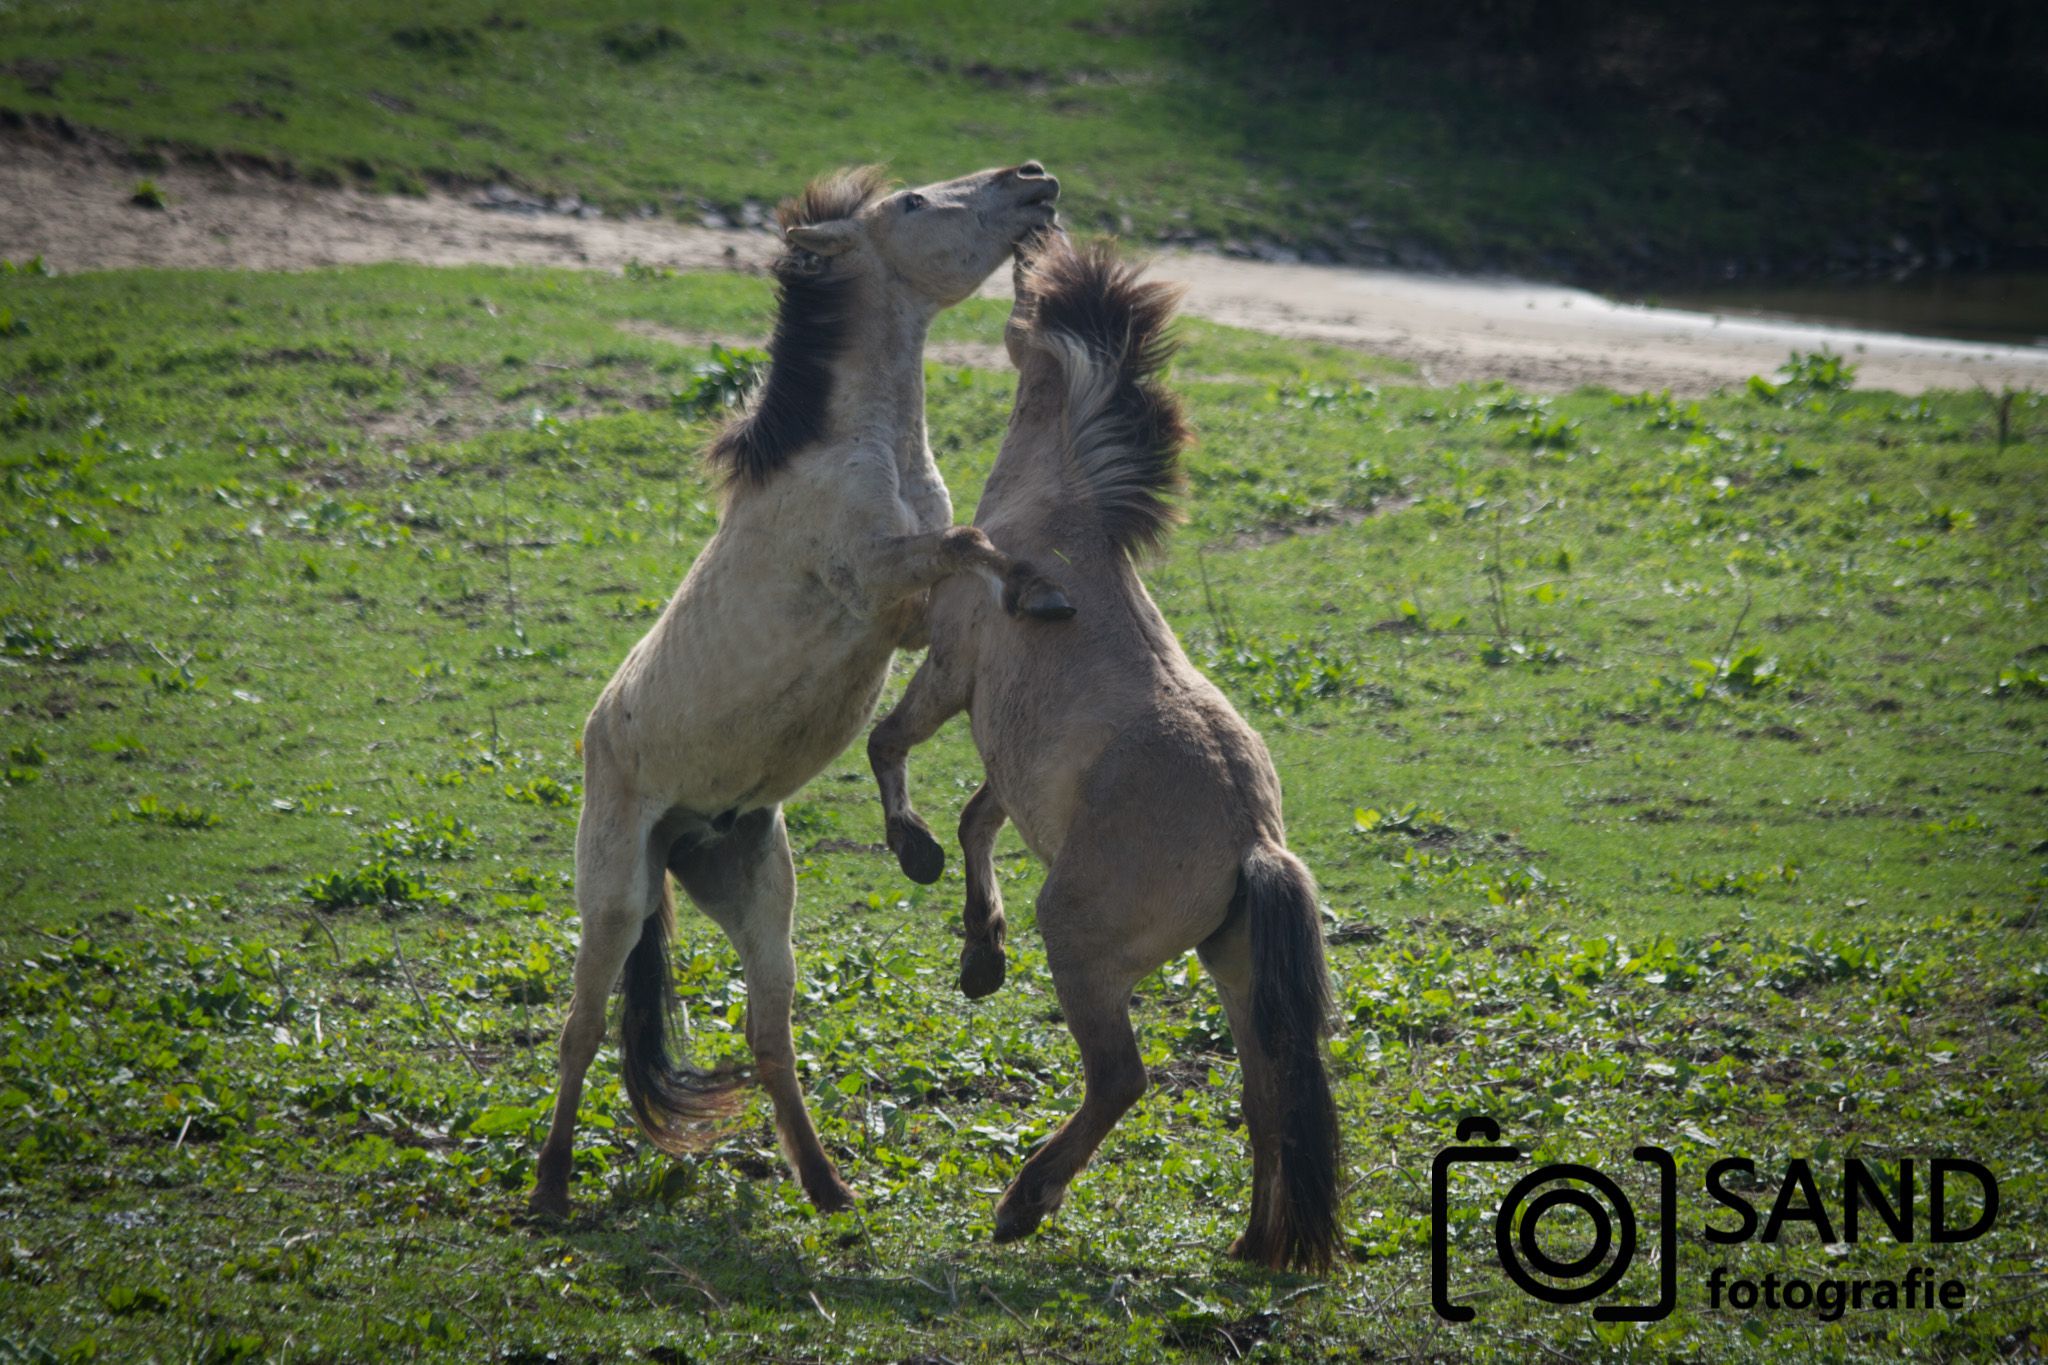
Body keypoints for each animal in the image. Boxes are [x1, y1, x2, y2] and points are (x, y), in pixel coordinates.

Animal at [528, 160, 1073, 1219]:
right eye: (912, 203)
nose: (1032, 179)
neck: (860, 450)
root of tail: (677, 828)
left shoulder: (912, 615)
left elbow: (972, 551)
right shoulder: (881, 589)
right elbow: (971, 543)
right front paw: (1041, 591)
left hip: (758, 893)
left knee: (767, 1034)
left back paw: (828, 1187)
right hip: (613, 898)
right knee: (581, 1030)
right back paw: (551, 1187)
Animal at [864, 235, 1343, 1268]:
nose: (1026, 234)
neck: (1058, 520)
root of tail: (1256, 844)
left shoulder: (951, 671)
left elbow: (892, 748)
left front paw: (916, 857)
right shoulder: (1012, 756)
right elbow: (977, 818)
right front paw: (980, 955)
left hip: (1083, 942)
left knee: (1124, 1078)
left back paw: (1023, 1200)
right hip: (1236, 971)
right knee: (1263, 1093)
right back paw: (1251, 1246)